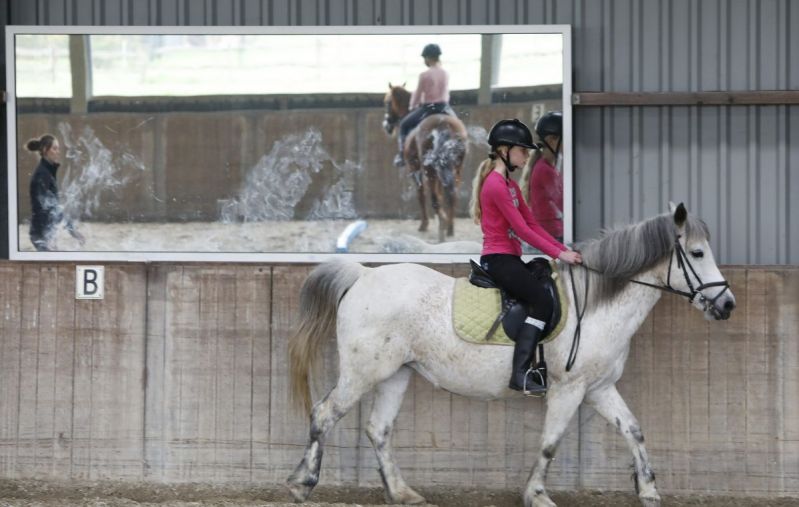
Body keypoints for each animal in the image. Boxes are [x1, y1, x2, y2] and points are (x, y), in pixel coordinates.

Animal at [288, 204, 736, 507]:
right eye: (698, 254)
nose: (727, 305)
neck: (595, 306)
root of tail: (363, 273)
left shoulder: (599, 388)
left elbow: (634, 430)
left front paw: (649, 488)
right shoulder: (569, 389)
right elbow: (551, 443)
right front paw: (537, 494)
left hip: (397, 373)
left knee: (378, 429)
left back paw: (402, 492)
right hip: (362, 372)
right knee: (324, 414)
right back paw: (302, 483)